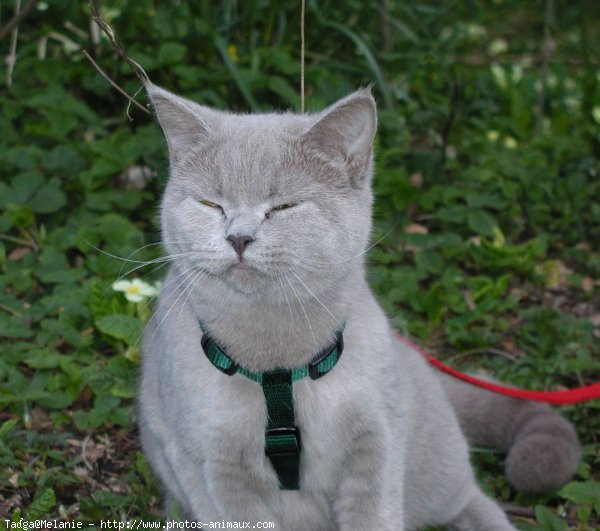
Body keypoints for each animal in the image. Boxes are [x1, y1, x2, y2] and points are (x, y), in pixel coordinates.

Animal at [138, 85, 580, 528]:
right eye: (211, 204)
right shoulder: (209, 467)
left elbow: (374, 515)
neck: (276, 364)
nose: (239, 238)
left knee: (469, 500)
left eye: (283, 208)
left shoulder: (375, 443)